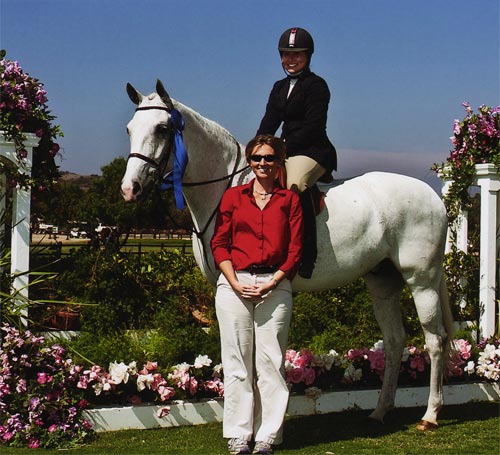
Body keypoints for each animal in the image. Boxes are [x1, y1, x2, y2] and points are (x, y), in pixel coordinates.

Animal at [120, 81, 454, 432]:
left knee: (435, 340)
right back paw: (380, 411)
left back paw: (430, 415)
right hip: (383, 282)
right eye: (130, 129)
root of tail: (431, 195)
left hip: (422, 281)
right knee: (394, 341)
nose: (131, 188)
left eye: (162, 128)